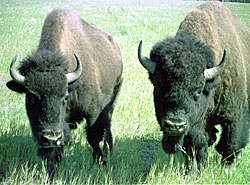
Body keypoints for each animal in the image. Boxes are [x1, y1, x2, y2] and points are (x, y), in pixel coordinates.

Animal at [6, 9, 123, 177]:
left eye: (65, 97)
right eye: (30, 98)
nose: (51, 137)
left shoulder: (94, 112)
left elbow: (93, 137)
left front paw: (100, 162)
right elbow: (54, 152)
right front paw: (51, 173)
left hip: (115, 93)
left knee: (108, 123)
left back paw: (109, 149)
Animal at [138, 1, 249, 170]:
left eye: (197, 91)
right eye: (159, 87)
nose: (175, 125)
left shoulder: (235, 116)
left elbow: (230, 144)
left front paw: (228, 169)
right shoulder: (194, 124)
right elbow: (195, 147)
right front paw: (194, 170)